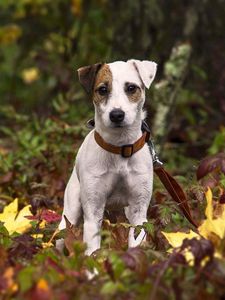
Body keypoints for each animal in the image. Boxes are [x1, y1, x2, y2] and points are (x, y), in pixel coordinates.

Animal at [57, 59, 157, 255]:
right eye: (102, 89)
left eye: (131, 88)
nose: (116, 114)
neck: (120, 148)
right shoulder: (93, 211)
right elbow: (92, 249)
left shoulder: (139, 211)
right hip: (70, 212)